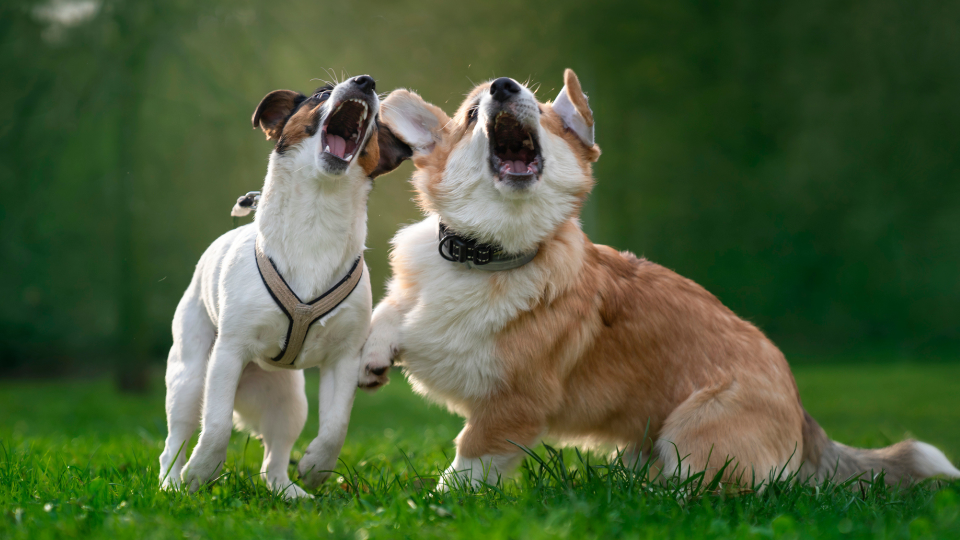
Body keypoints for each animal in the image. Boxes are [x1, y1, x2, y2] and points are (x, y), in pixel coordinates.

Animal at [160, 76, 404, 498]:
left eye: (376, 121)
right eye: (322, 94)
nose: (365, 82)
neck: (316, 218)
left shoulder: (344, 359)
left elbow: (336, 427)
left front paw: (316, 467)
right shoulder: (228, 353)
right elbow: (217, 426)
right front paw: (201, 472)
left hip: (289, 400)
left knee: (273, 458)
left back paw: (288, 491)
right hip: (189, 378)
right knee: (177, 439)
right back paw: (173, 483)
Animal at [362, 69, 960, 488]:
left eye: (546, 116)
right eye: (470, 114)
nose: (505, 87)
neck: (484, 256)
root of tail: (803, 415)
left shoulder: (515, 404)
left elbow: (470, 462)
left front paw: (442, 503)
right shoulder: (415, 299)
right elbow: (390, 311)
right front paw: (372, 354)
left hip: (696, 427)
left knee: (712, 490)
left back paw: (651, 494)